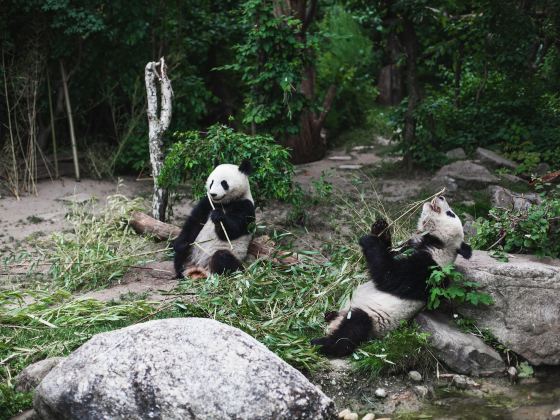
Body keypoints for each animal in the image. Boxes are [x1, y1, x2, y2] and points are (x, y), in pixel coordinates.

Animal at [310, 195, 472, 356]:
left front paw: (370, 239)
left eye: (450, 213)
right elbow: (385, 256)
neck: (436, 243)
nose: (441, 196)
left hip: (371, 319)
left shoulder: (429, 269)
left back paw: (319, 343)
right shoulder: (407, 249)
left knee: (352, 330)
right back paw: (329, 315)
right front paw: (380, 228)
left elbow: (389, 275)